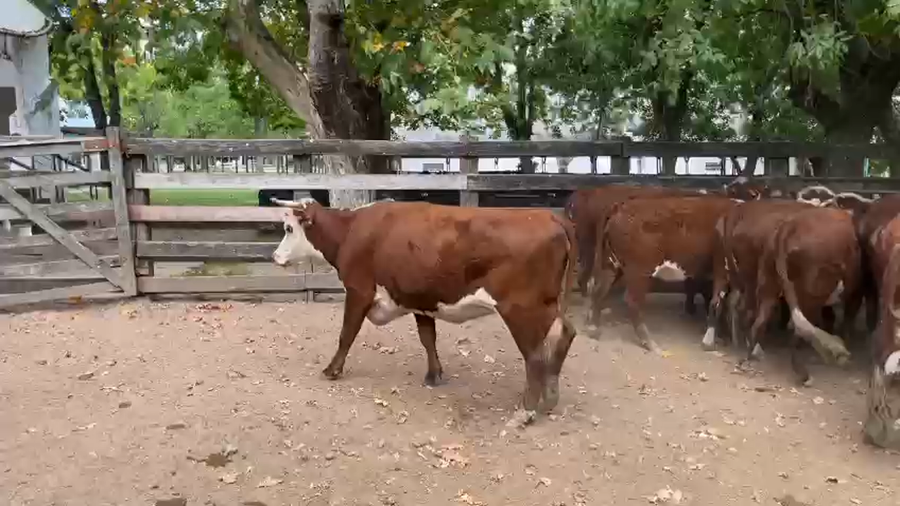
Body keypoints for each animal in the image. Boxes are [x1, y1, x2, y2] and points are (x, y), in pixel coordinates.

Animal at [270, 198, 578, 423]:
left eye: (288, 229)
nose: (274, 256)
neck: (352, 230)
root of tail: (550, 217)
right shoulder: (419, 298)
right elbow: (428, 338)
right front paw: (434, 375)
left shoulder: (359, 291)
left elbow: (346, 333)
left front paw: (332, 370)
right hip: (547, 306)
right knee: (565, 335)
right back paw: (550, 398)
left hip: (521, 310)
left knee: (535, 356)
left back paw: (526, 411)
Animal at [586, 195, 740, 354]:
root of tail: (620, 205)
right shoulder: (721, 269)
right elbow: (716, 303)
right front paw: (709, 342)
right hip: (639, 270)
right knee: (632, 301)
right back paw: (650, 343)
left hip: (611, 263)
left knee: (598, 290)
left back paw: (593, 329)